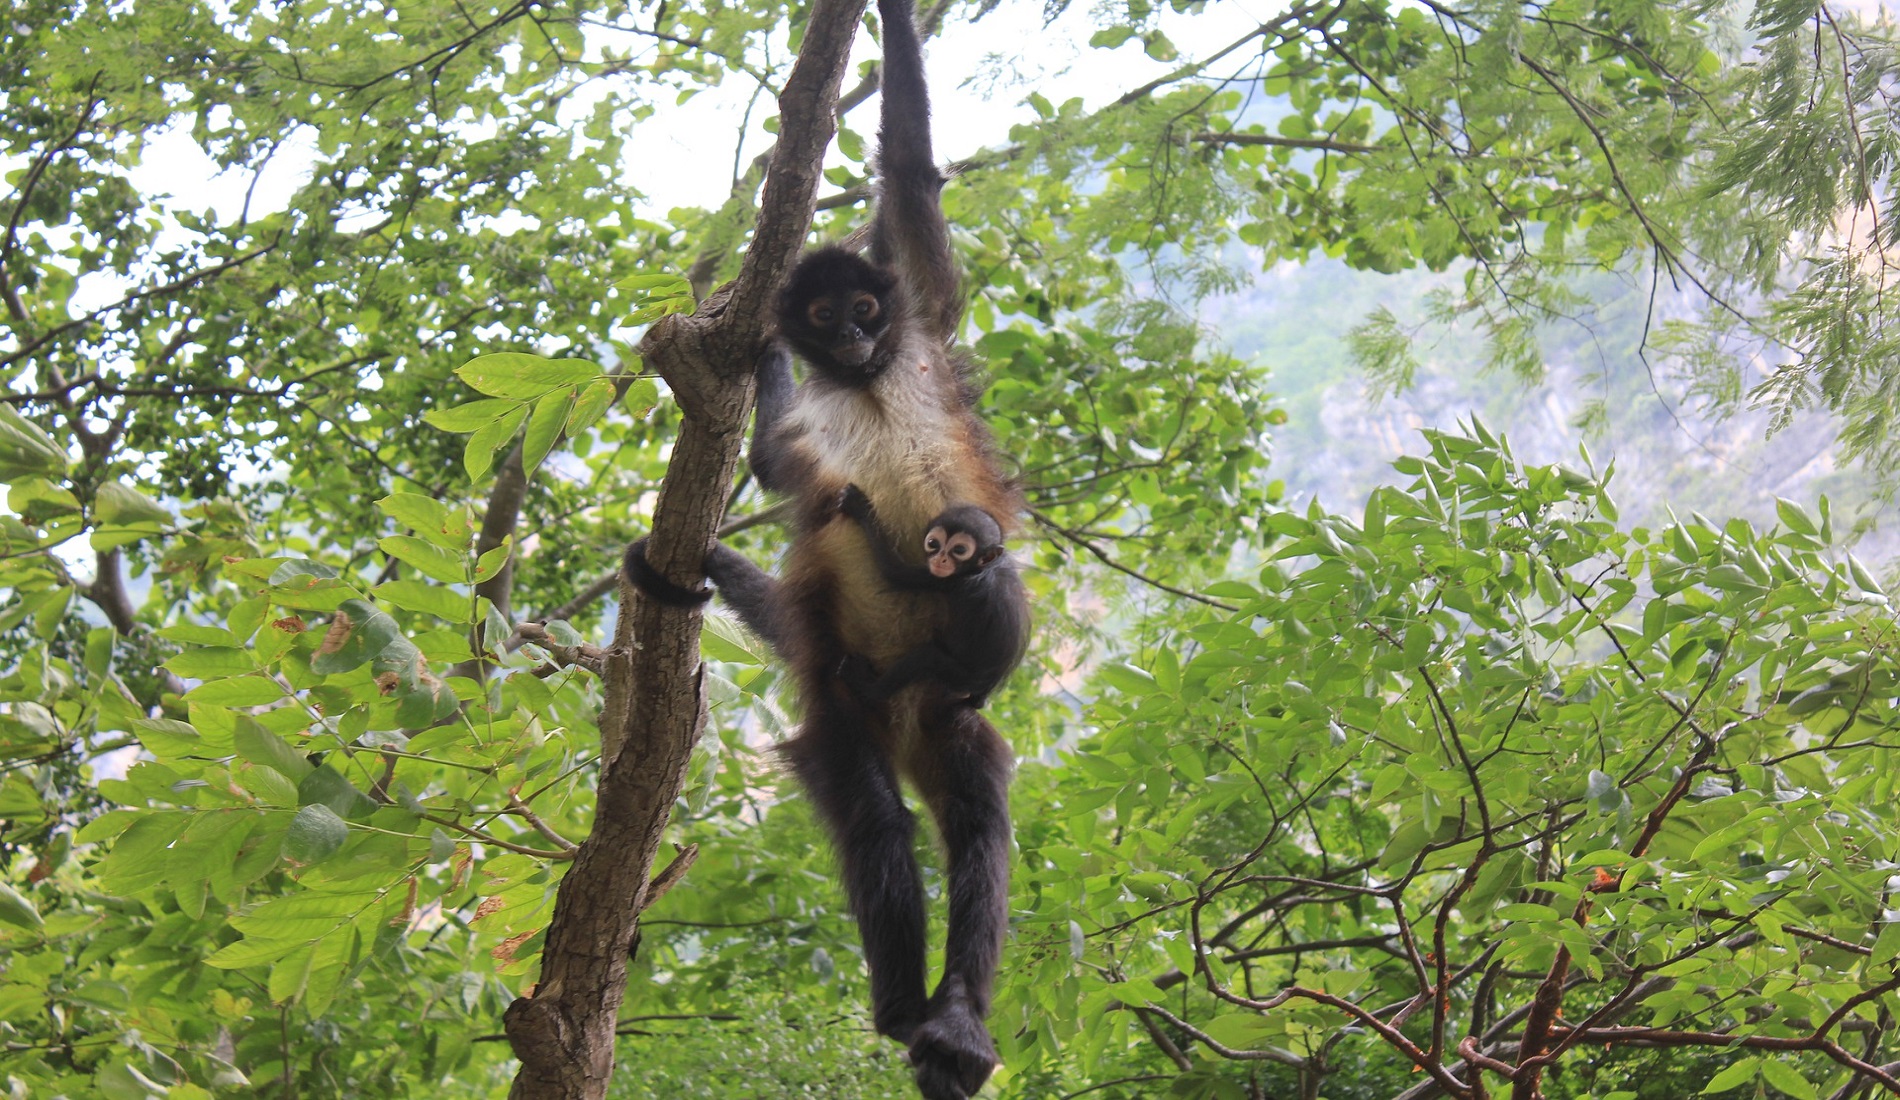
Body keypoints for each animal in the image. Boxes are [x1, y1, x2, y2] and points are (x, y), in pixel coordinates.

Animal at [839, 486, 1033, 710]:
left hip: (962, 677)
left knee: (926, 658)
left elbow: (894, 572)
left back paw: (868, 687)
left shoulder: (952, 580)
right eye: (933, 543)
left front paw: (859, 506)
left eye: (959, 550)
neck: (985, 567)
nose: (941, 559)